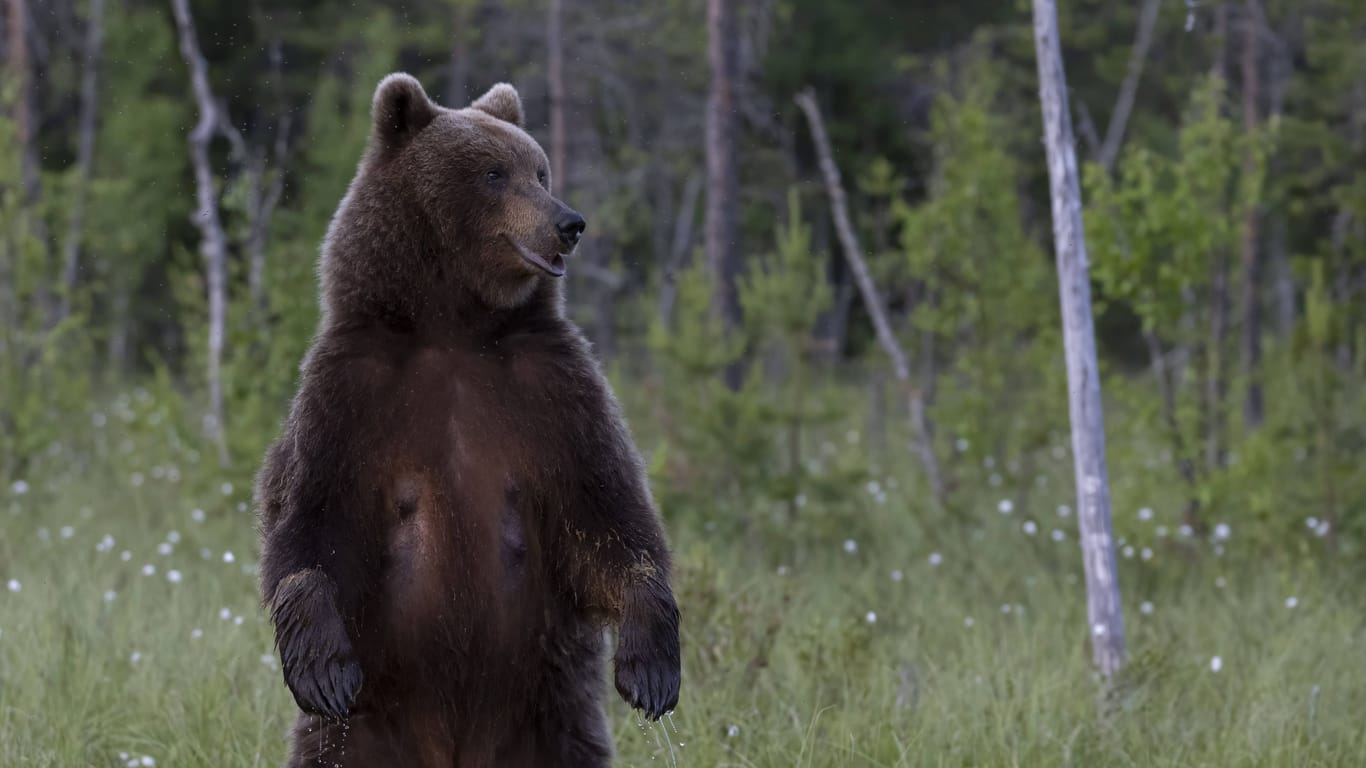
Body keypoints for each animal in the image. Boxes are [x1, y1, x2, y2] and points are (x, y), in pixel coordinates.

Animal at [254, 73, 680, 765]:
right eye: (493, 172)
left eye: (540, 168)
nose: (568, 222)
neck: (454, 325)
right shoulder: (351, 393)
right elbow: (310, 522)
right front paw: (322, 670)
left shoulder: (553, 388)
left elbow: (607, 515)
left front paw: (651, 668)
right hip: (366, 732)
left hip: (547, 715)